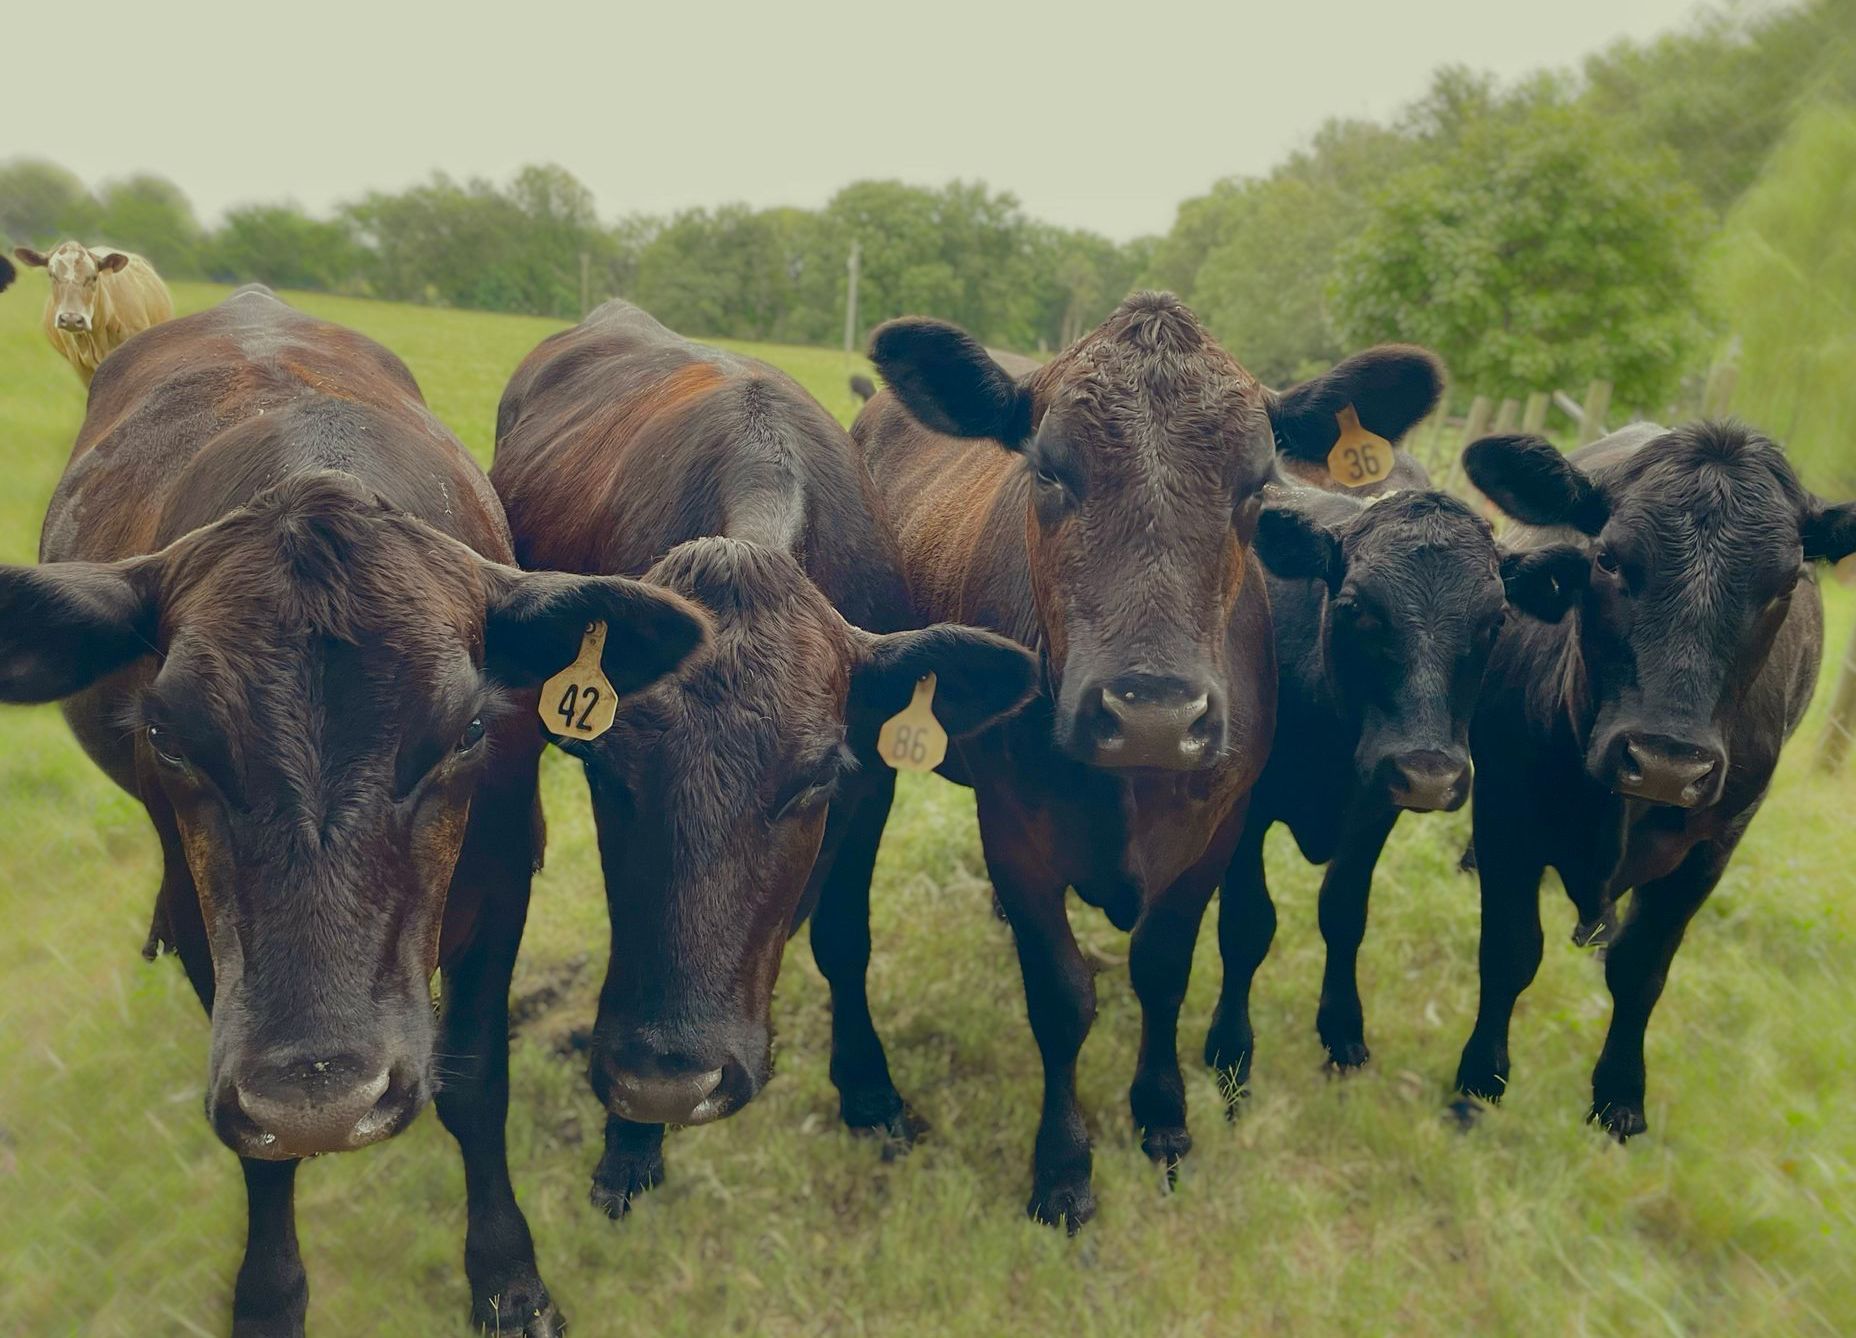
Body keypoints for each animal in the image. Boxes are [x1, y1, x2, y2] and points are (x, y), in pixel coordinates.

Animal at [0, 288, 709, 1337]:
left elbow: (475, 1079)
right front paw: (268, 1295)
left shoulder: (500, 881)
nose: (321, 1102)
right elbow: (256, 1147)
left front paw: (507, 1275)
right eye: (166, 735)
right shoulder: (220, 946)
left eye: (469, 727)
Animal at [489, 300, 1038, 1218]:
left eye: (817, 779)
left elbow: (845, 938)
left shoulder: (875, 785)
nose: (672, 1081)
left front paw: (872, 1093)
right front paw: (630, 1143)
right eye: (605, 772)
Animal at [853, 292, 1445, 1228]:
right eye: (1048, 471)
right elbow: (1061, 998)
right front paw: (1062, 1170)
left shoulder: (1219, 830)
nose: (1153, 717)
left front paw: (1164, 1120)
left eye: (1256, 485)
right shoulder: (1014, 828)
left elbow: (1165, 970)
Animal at [1204, 481, 1586, 1090]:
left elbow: (1343, 911)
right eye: (1357, 609)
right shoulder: (1244, 804)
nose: (1429, 774)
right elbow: (1247, 924)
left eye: (1497, 621)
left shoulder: (1374, 808)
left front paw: (1341, 1026)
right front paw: (1230, 1049)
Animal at [1453, 423, 1856, 1139]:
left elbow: (1641, 971)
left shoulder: (1713, 846)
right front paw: (1480, 1079)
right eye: (1609, 559)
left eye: (1785, 583)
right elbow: (1510, 949)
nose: (1668, 763)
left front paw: (1619, 1097)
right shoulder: (1506, 808)